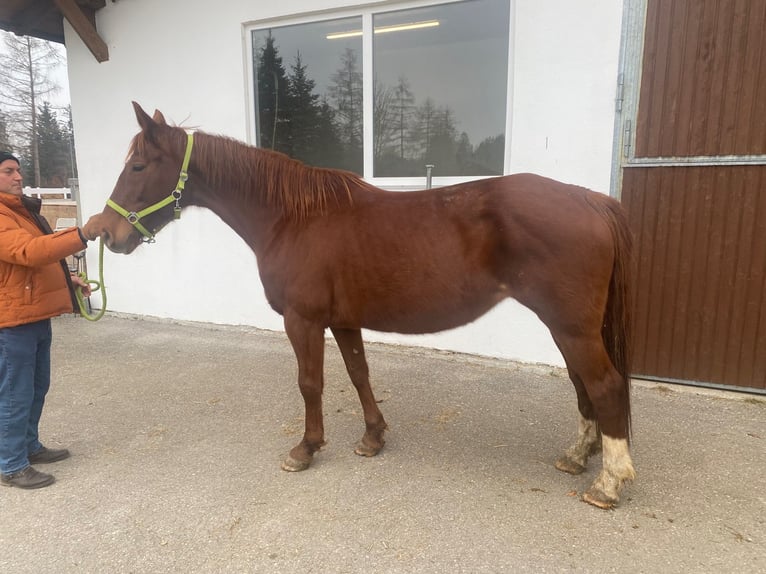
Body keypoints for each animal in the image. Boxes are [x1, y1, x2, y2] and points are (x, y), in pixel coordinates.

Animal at [82, 102, 636, 508]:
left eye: (138, 165)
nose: (104, 234)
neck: (293, 218)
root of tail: (590, 200)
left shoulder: (303, 320)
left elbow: (311, 383)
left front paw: (305, 449)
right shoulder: (343, 321)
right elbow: (359, 374)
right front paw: (373, 438)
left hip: (570, 326)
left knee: (604, 385)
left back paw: (608, 483)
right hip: (568, 326)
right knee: (582, 384)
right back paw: (577, 455)